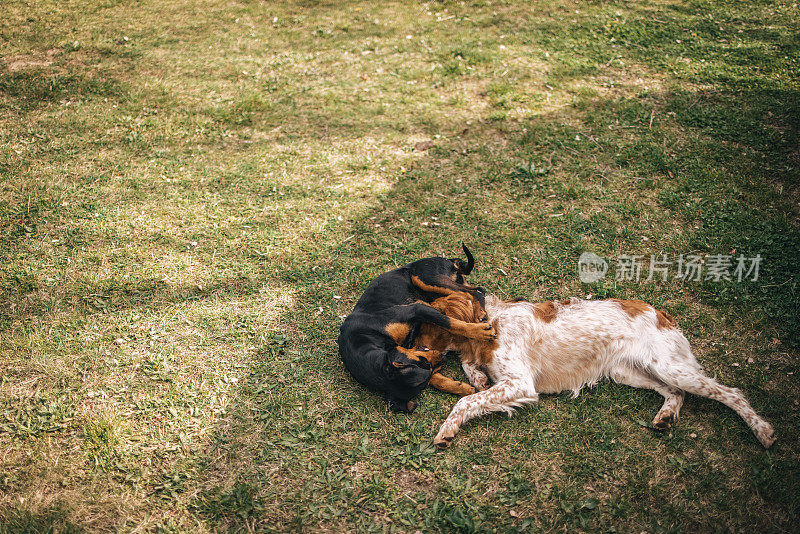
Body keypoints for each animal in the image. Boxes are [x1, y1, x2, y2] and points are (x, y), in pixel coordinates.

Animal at [338, 246, 494, 414]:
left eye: (420, 361)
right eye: (424, 363)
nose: (443, 359)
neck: (363, 338)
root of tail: (448, 259)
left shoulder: (417, 308)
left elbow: (451, 323)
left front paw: (481, 332)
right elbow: (435, 379)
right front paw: (461, 388)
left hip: (423, 277)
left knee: (475, 291)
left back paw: (479, 313)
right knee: (471, 291)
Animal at [418, 296, 776, 450]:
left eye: (424, 325)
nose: (417, 360)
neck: (491, 322)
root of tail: (661, 312)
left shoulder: (520, 383)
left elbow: (465, 403)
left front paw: (447, 430)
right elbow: (473, 379)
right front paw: (476, 376)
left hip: (670, 368)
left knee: (730, 393)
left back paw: (763, 431)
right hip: (628, 372)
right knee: (676, 393)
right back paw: (664, 417)